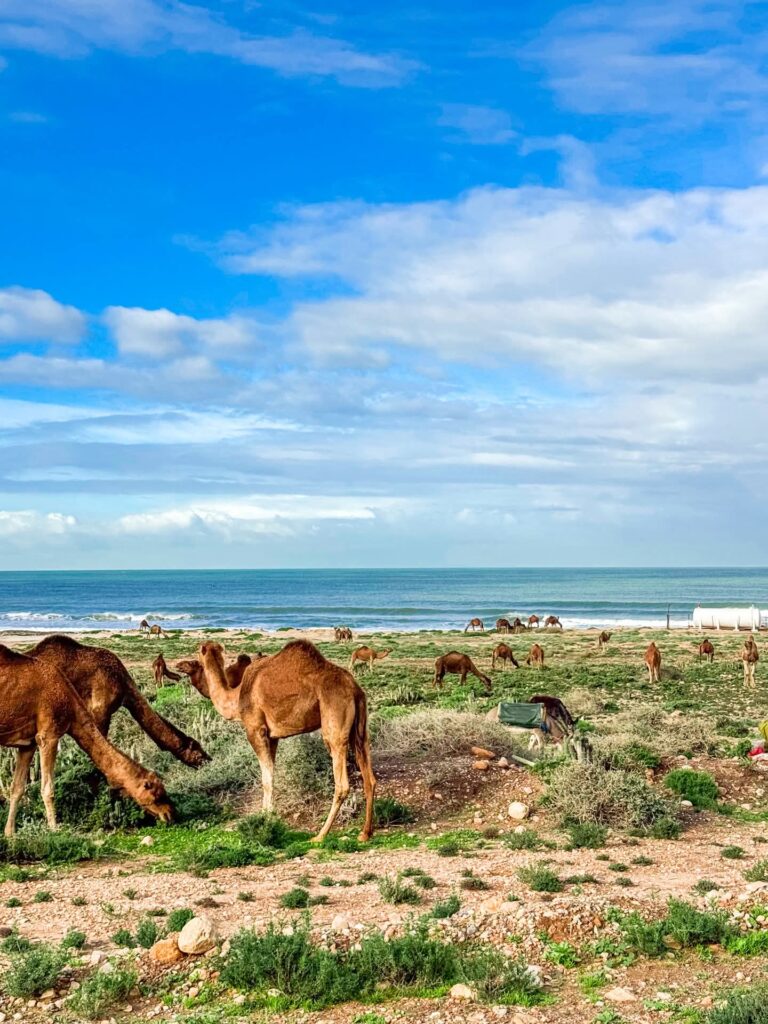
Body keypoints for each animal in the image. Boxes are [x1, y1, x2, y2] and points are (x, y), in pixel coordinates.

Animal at [0, 645, 173, 835]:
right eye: (157, 794)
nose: (170, 814)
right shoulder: (48, 735)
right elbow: (48, 789)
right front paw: (54, 830)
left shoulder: (28, 743)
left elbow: (17, 788)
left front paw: (9, 833)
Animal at [197, 639, 376, 843]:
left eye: (197, 654)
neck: (236, 697)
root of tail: (355, 689)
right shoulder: (272, 737)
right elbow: (271, 774)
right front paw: (268, 817)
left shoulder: (255, 729)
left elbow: (266, 779)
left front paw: (265, 820)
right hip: (360, 728)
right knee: (369, 776)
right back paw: (365, 833)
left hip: (334, 719)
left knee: (342, 782)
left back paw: (320, 835)